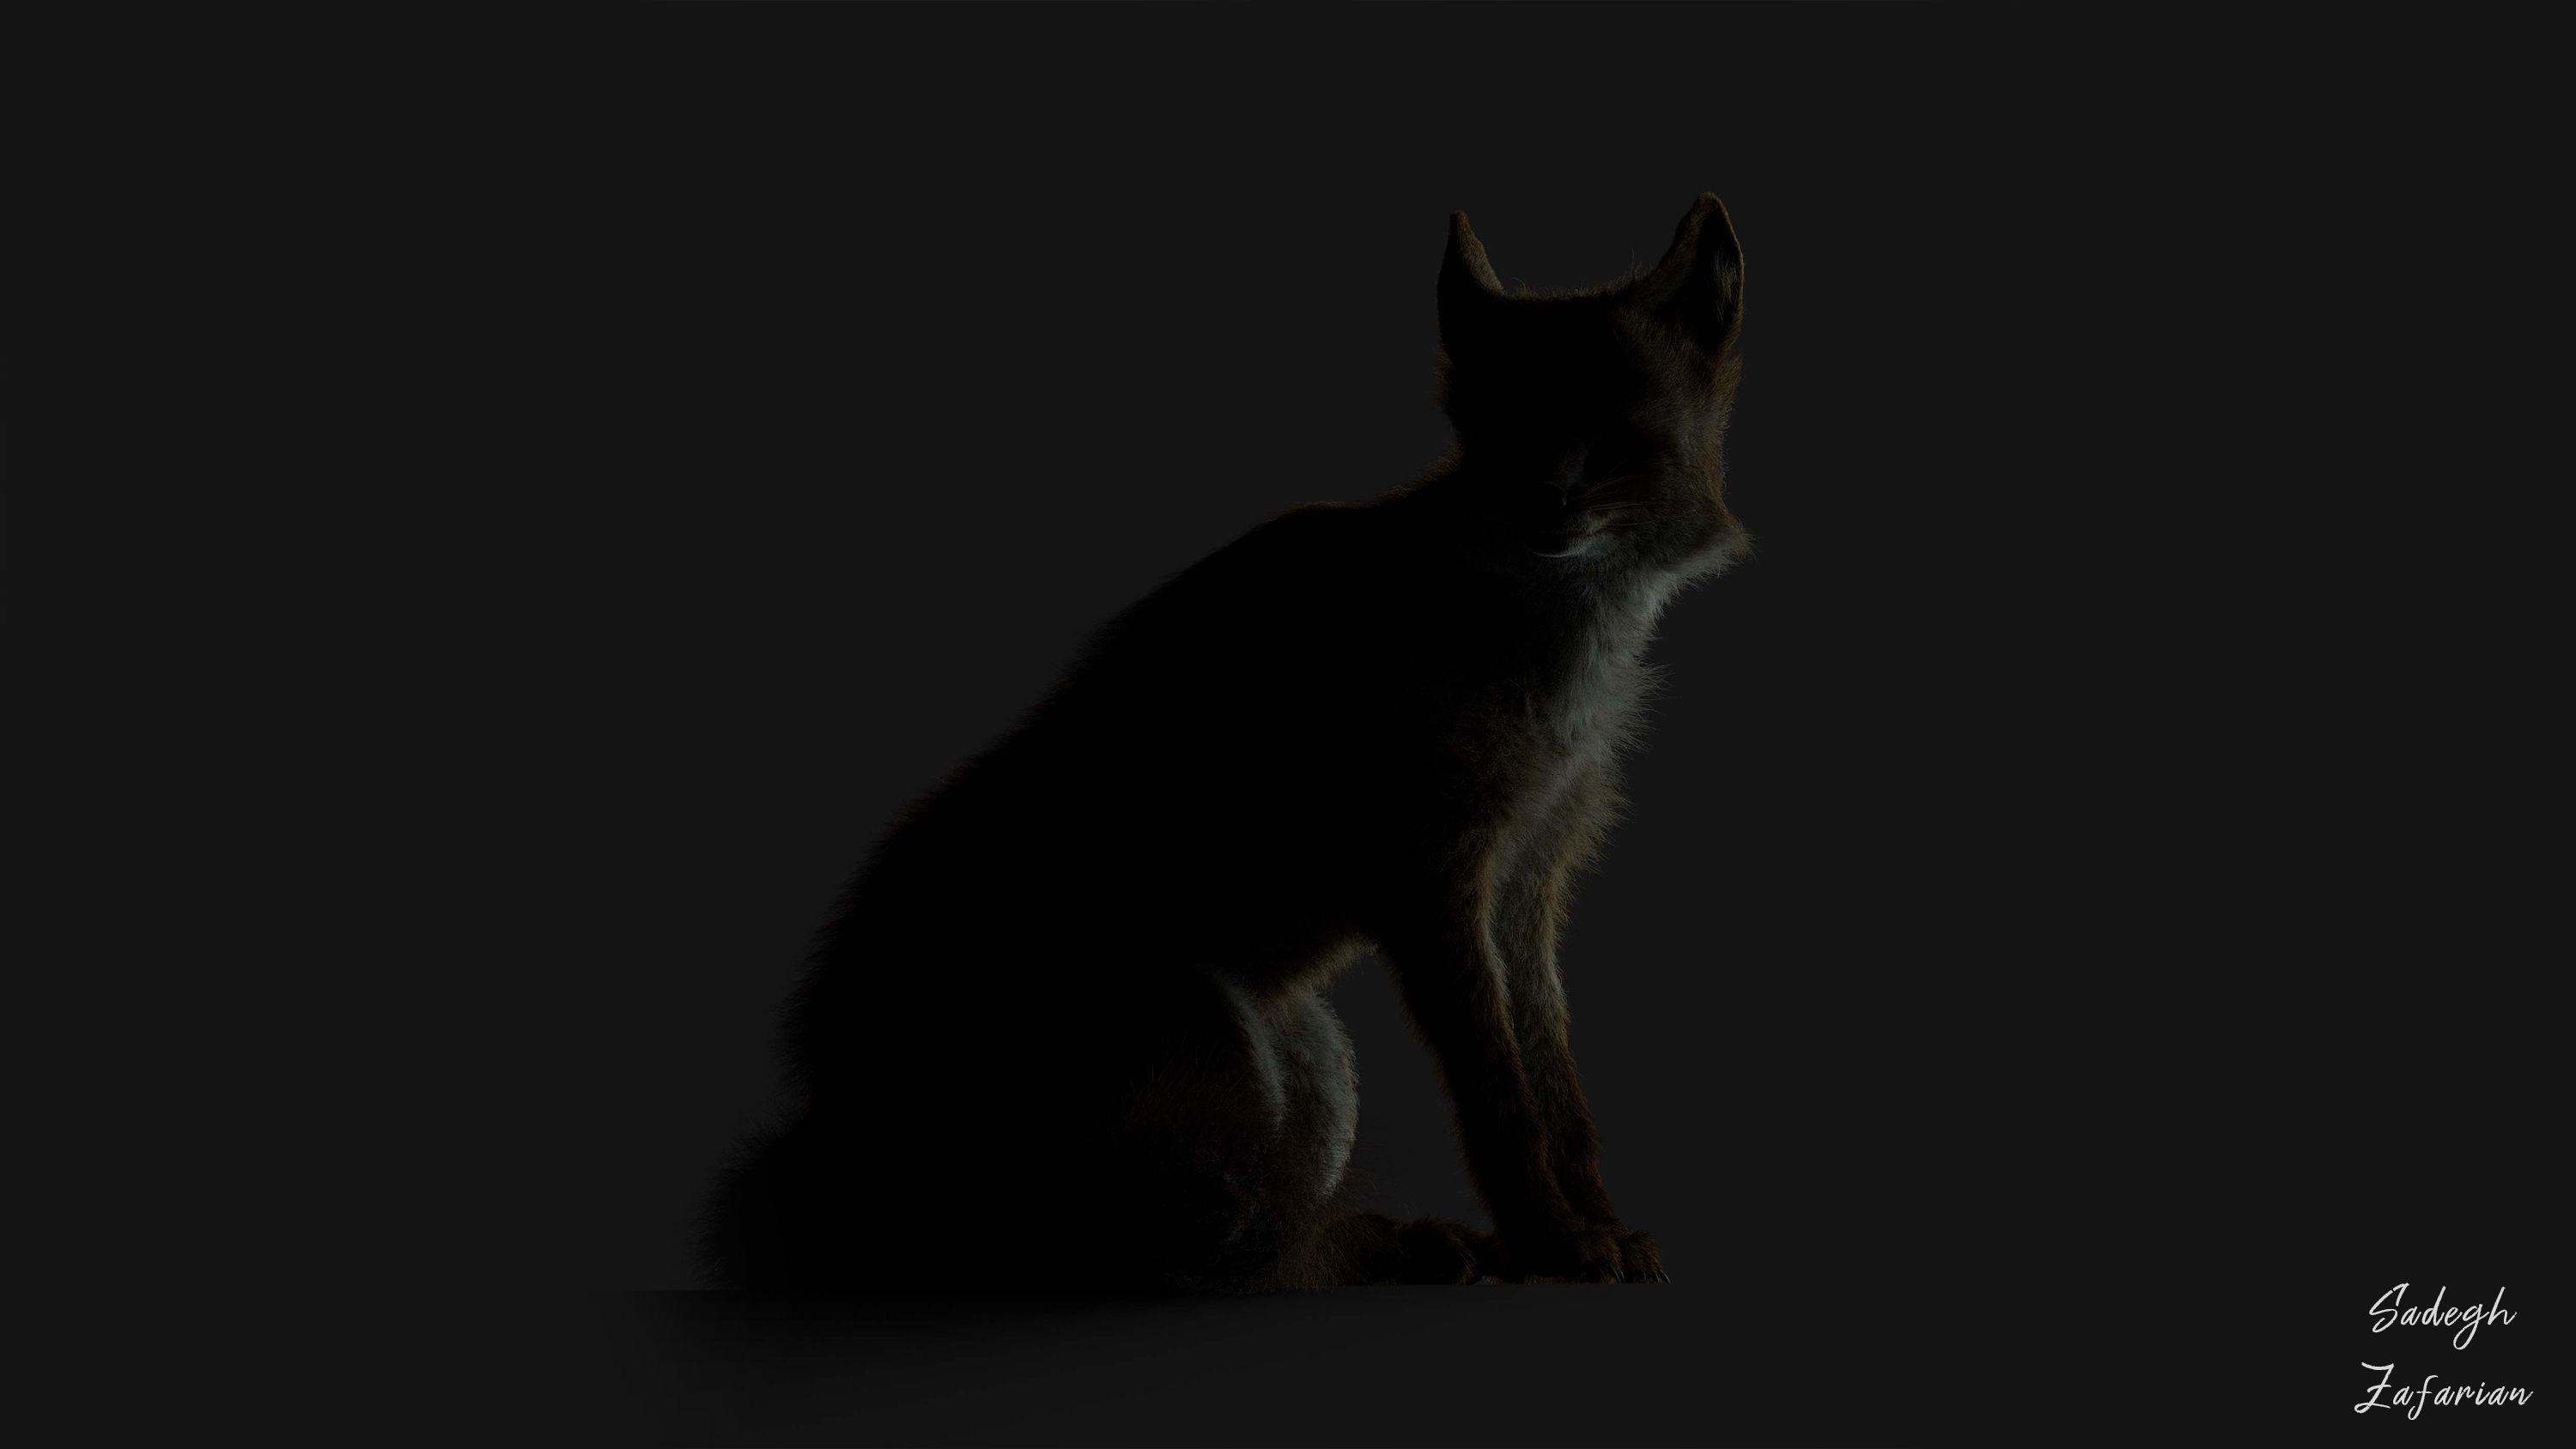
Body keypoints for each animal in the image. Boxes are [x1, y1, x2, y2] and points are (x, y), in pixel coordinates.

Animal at [701, 194, 1751, 1290]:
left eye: (1612, 429)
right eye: (1499, 428)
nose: (1544, 503)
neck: (1548, 637)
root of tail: (825, 1106)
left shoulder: (1526, 879)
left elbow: (1557, 1088)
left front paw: (1593, 1224)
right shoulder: (1429, 876)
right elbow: (1499, 1096)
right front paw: (1548, 1238)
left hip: (1313, 1054)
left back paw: (1408, 1244)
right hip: (1204, 1027)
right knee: (1161, 1245)